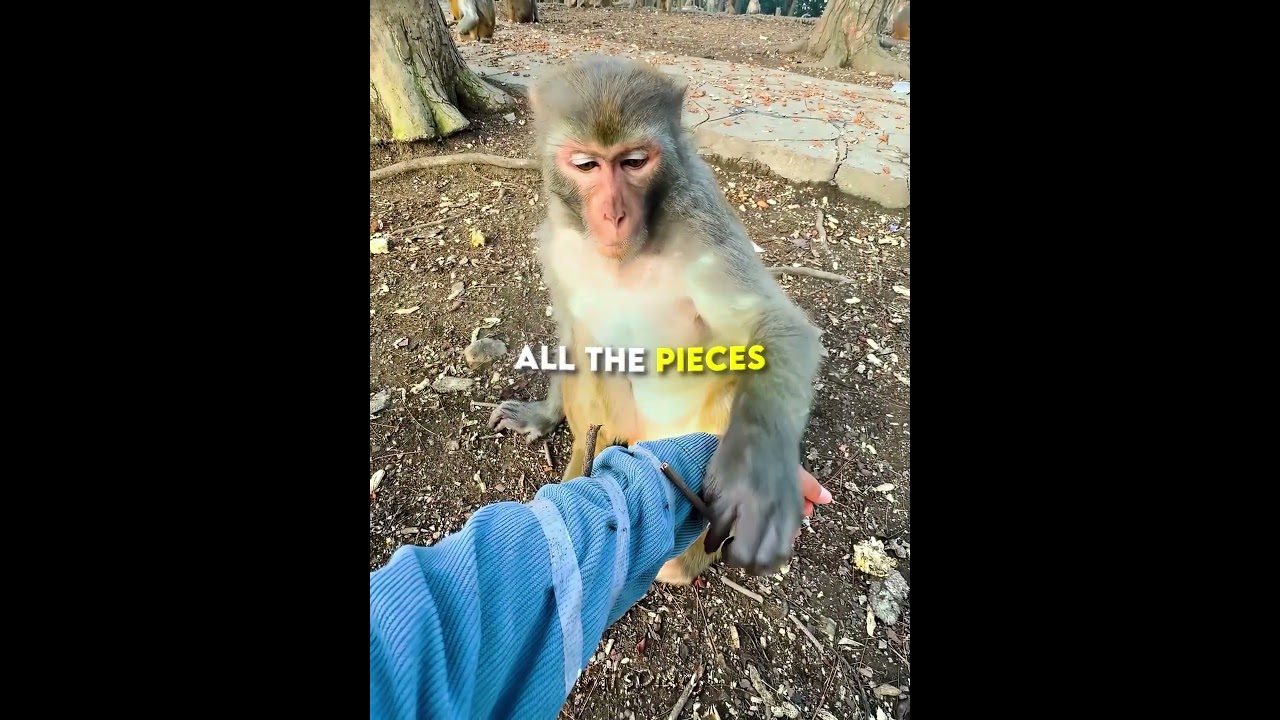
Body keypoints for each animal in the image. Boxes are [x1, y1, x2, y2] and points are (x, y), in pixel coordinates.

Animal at [489, 56, 824, 585]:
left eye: (633, 162)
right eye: (586, 165)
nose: (614, 213)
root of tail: (651, 440)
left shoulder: (701, 224)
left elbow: (773, 327)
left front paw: (757, 479)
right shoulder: (555, 242)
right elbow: (570, 333)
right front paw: (542, 414)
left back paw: (688, 558)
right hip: (624, 424)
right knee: (590, 357)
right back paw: (582, 461)